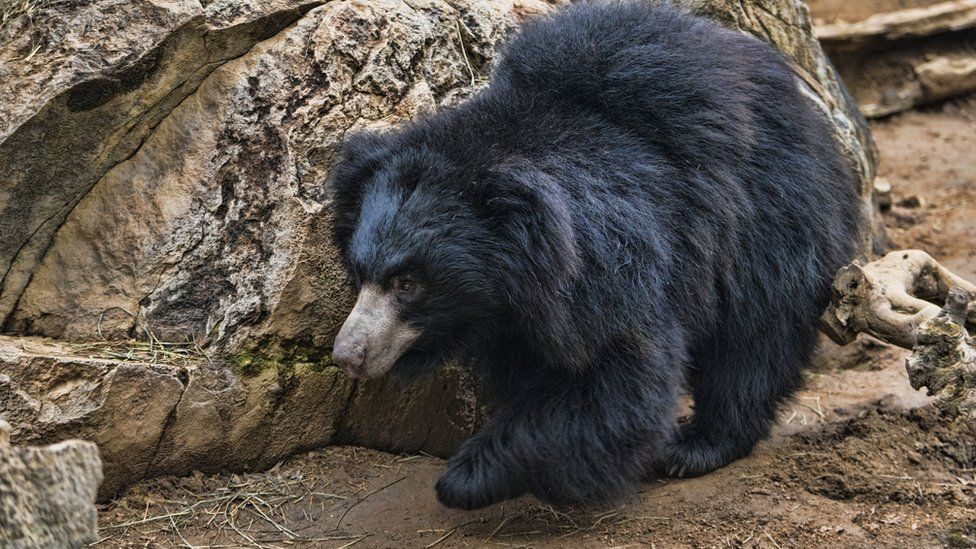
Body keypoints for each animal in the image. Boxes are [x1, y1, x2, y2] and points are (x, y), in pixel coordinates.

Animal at [330, 2, 860, 510]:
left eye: (408, 283)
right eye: (361, 273)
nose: (347, 355)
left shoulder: (616, 266)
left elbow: (615, 380)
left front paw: (466, 477)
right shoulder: (515, 311)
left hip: (770, 221)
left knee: (754, 337)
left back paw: (695, 448)